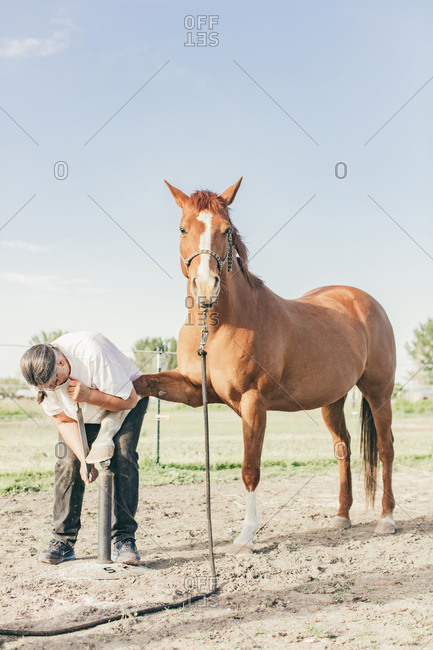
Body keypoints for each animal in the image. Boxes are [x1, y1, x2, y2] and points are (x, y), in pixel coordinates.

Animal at [133, 178, 396, 553]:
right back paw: (341, 516)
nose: (205, 287)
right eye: (183, 228)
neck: (218, 327)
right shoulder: (192, 389)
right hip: (332, 400)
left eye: (226, 230)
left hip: (379, 391)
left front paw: (245, 537)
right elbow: (144, 382)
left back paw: (386, 520)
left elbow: (250, 469)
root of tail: (363, 300)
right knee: (343, 447)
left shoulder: (253, 402)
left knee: (386, 448)